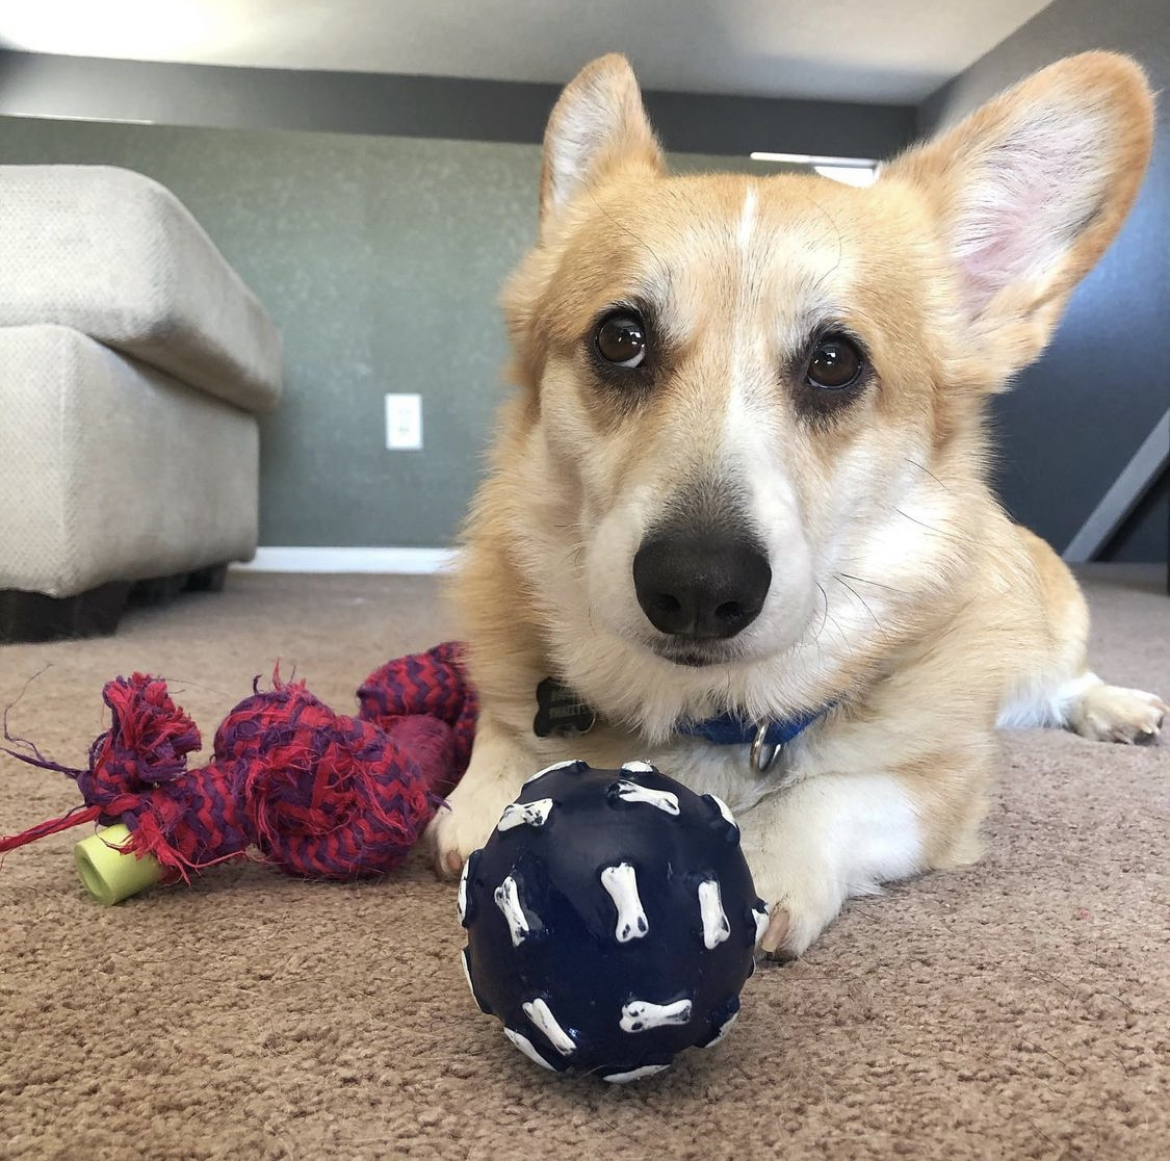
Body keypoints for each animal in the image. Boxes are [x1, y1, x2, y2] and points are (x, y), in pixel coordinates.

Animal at [425, 52, 1165, 950]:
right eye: (620, 339)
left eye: (836, 361)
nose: (697, 588)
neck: (710, 714)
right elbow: (499, 726)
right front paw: (488, 794)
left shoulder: (942, 779)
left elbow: (834, 791)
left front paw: (762, 857)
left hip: (1048, 633)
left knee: (1065, 681)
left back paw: (1117, 706)